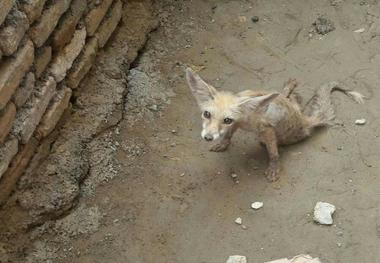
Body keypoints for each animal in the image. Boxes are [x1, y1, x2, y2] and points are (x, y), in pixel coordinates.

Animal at [185, 68, 366, 183]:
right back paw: (290, 90)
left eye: (226, 119)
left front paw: (273, 169)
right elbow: (228, 135)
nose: (208, 137)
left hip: (277, 135)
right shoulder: (238, 124)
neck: (246, 119)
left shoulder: (267, 130)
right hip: (290, 106)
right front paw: (222, 144)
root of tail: (305, 122)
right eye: (207, 114)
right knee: (290, 98)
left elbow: (274, 154)